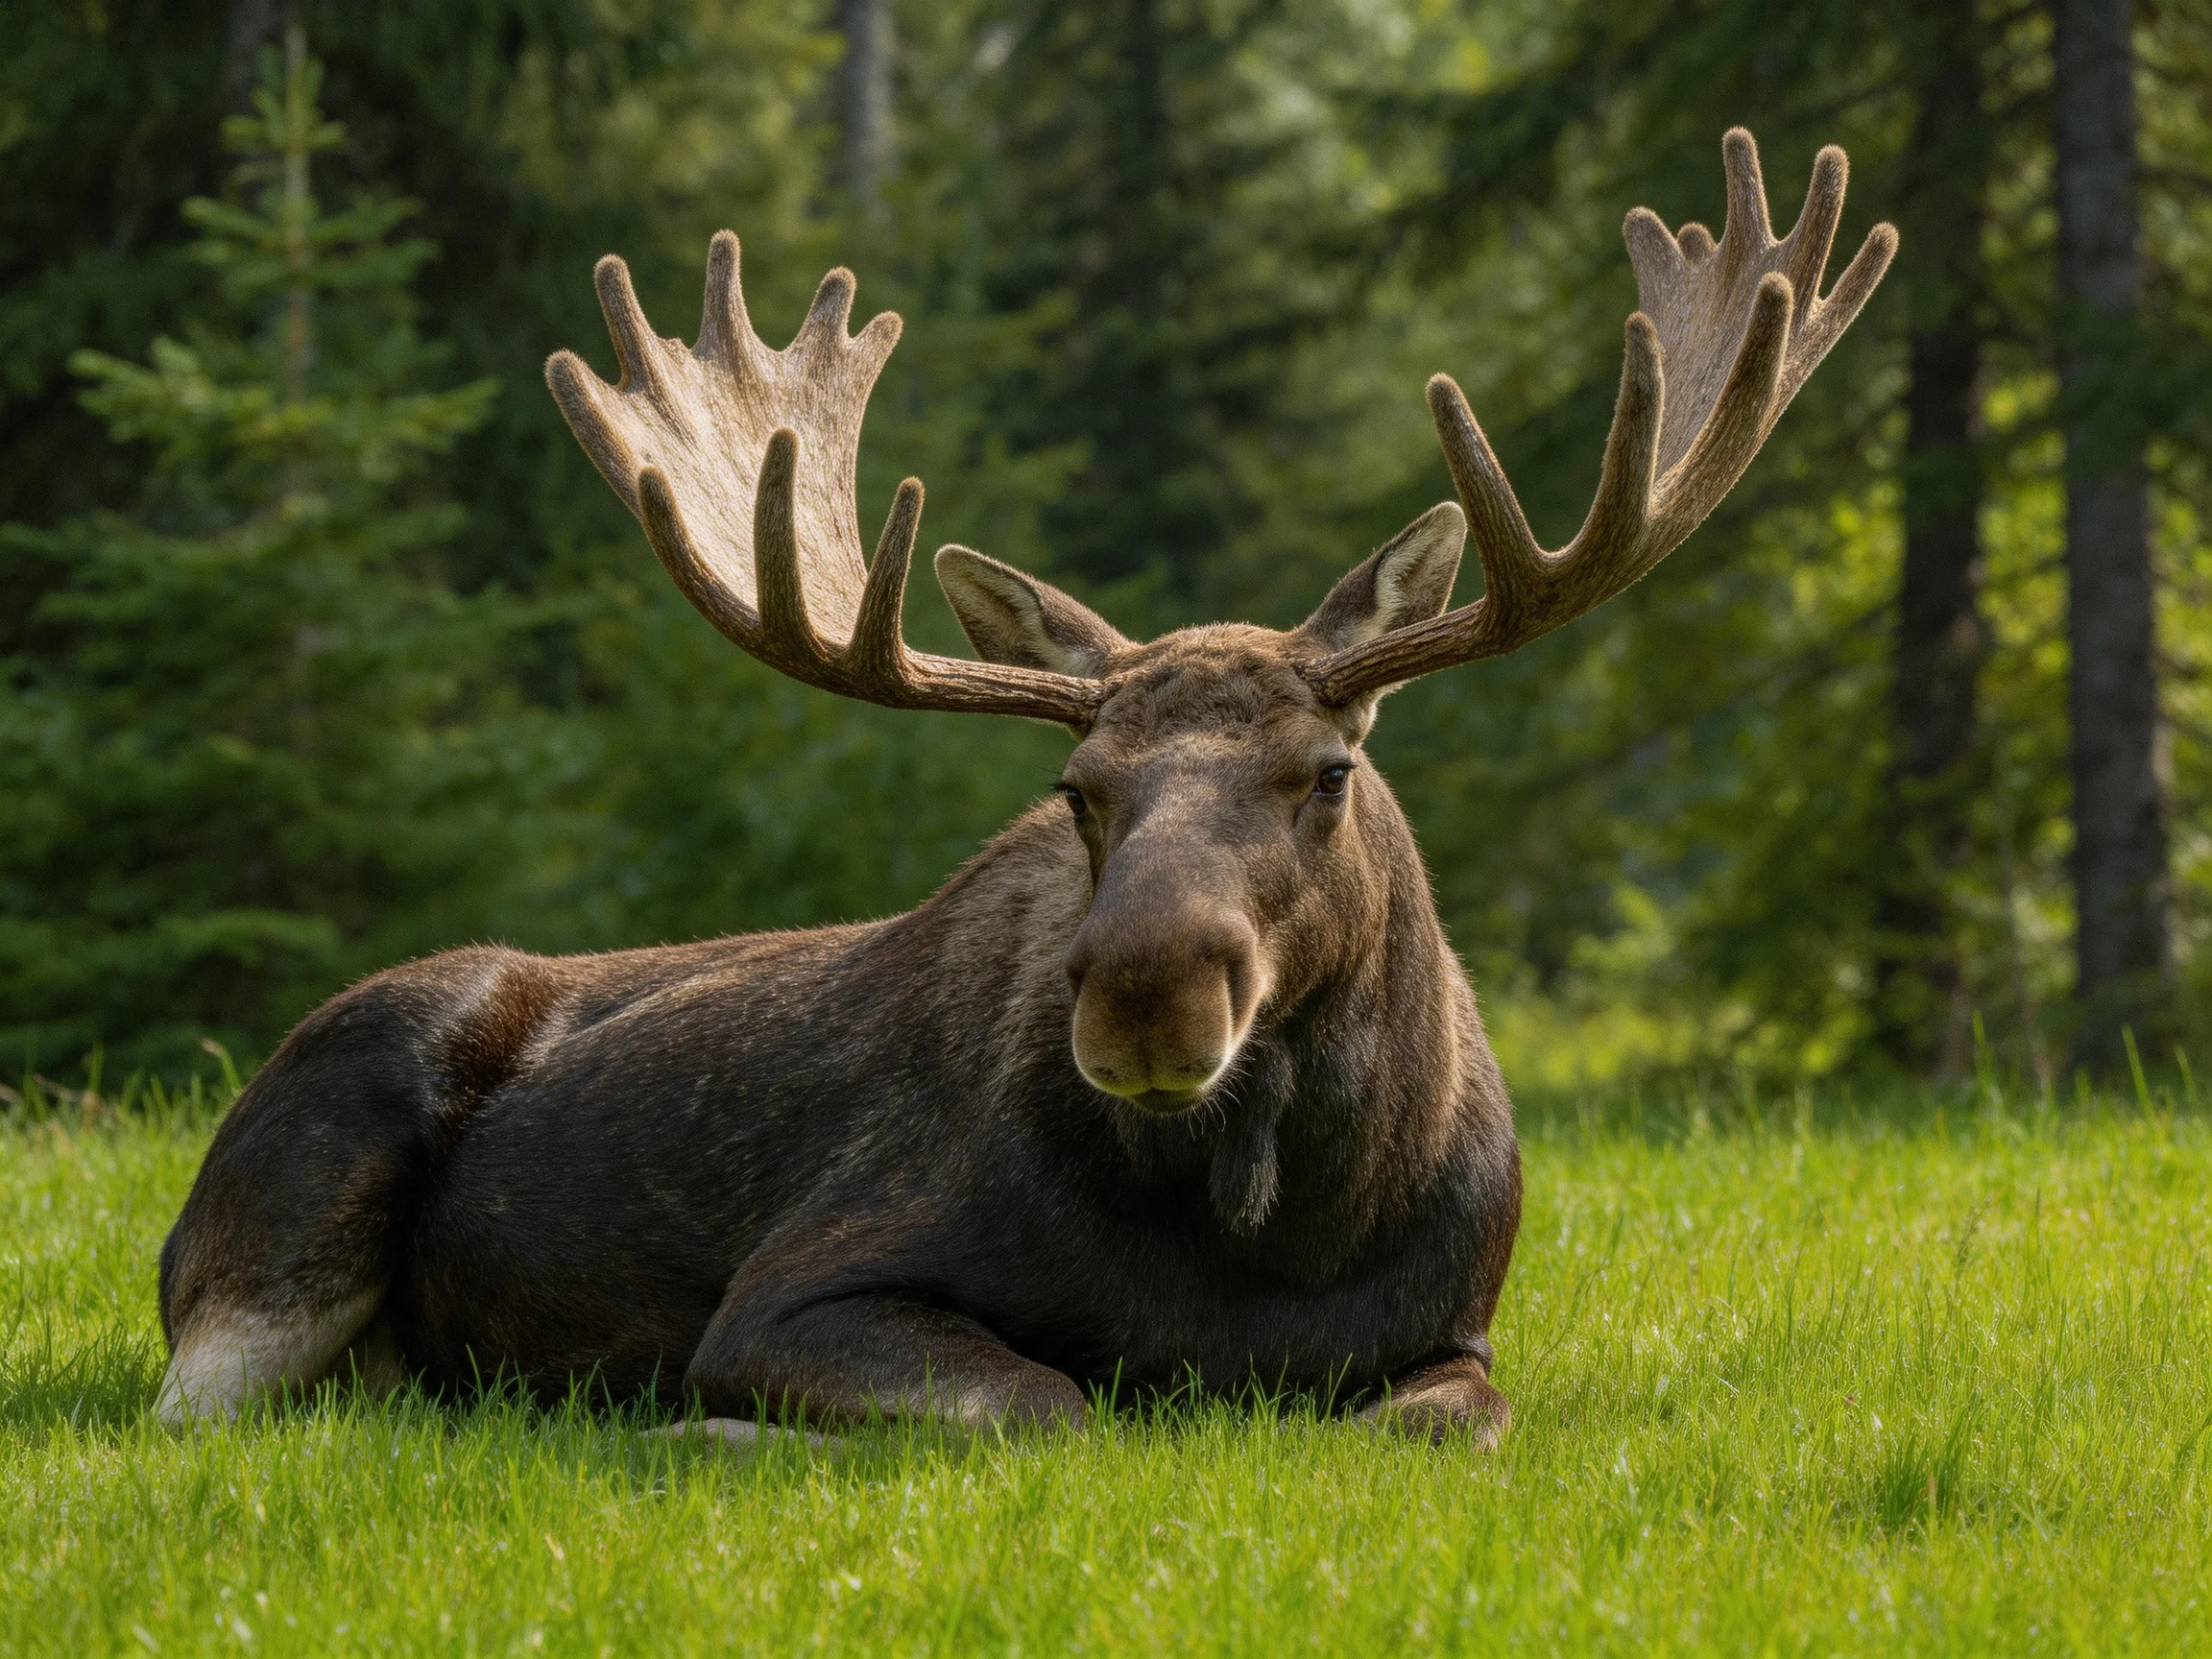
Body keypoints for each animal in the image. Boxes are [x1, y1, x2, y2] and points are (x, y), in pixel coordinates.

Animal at [155, 131, 1892, 1445]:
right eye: (1077, 787)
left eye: (1326, 771)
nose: (1144, 993)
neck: (1260, 1232)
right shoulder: (803, 1280)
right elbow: (1046, 1403)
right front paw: (698, 1429)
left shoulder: (1457, 1334)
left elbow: (1424, 1422)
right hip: (278, 1222)